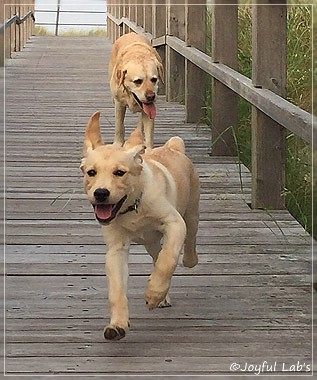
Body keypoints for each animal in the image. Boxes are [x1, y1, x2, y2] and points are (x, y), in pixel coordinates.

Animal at [80, 111, 199, 340]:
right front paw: (117, 325)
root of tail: (173, 147)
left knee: (188, 240)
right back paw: (163, 296)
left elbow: (168, 260)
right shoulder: (116, 248)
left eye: (120, 172)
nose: (101, 193)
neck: (133, 206)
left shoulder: (174, 223)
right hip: (150, 242)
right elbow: (117, 290)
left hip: (191, 212)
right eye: (91, 172)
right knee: (156, 255)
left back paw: (188, 261)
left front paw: (153, 294)